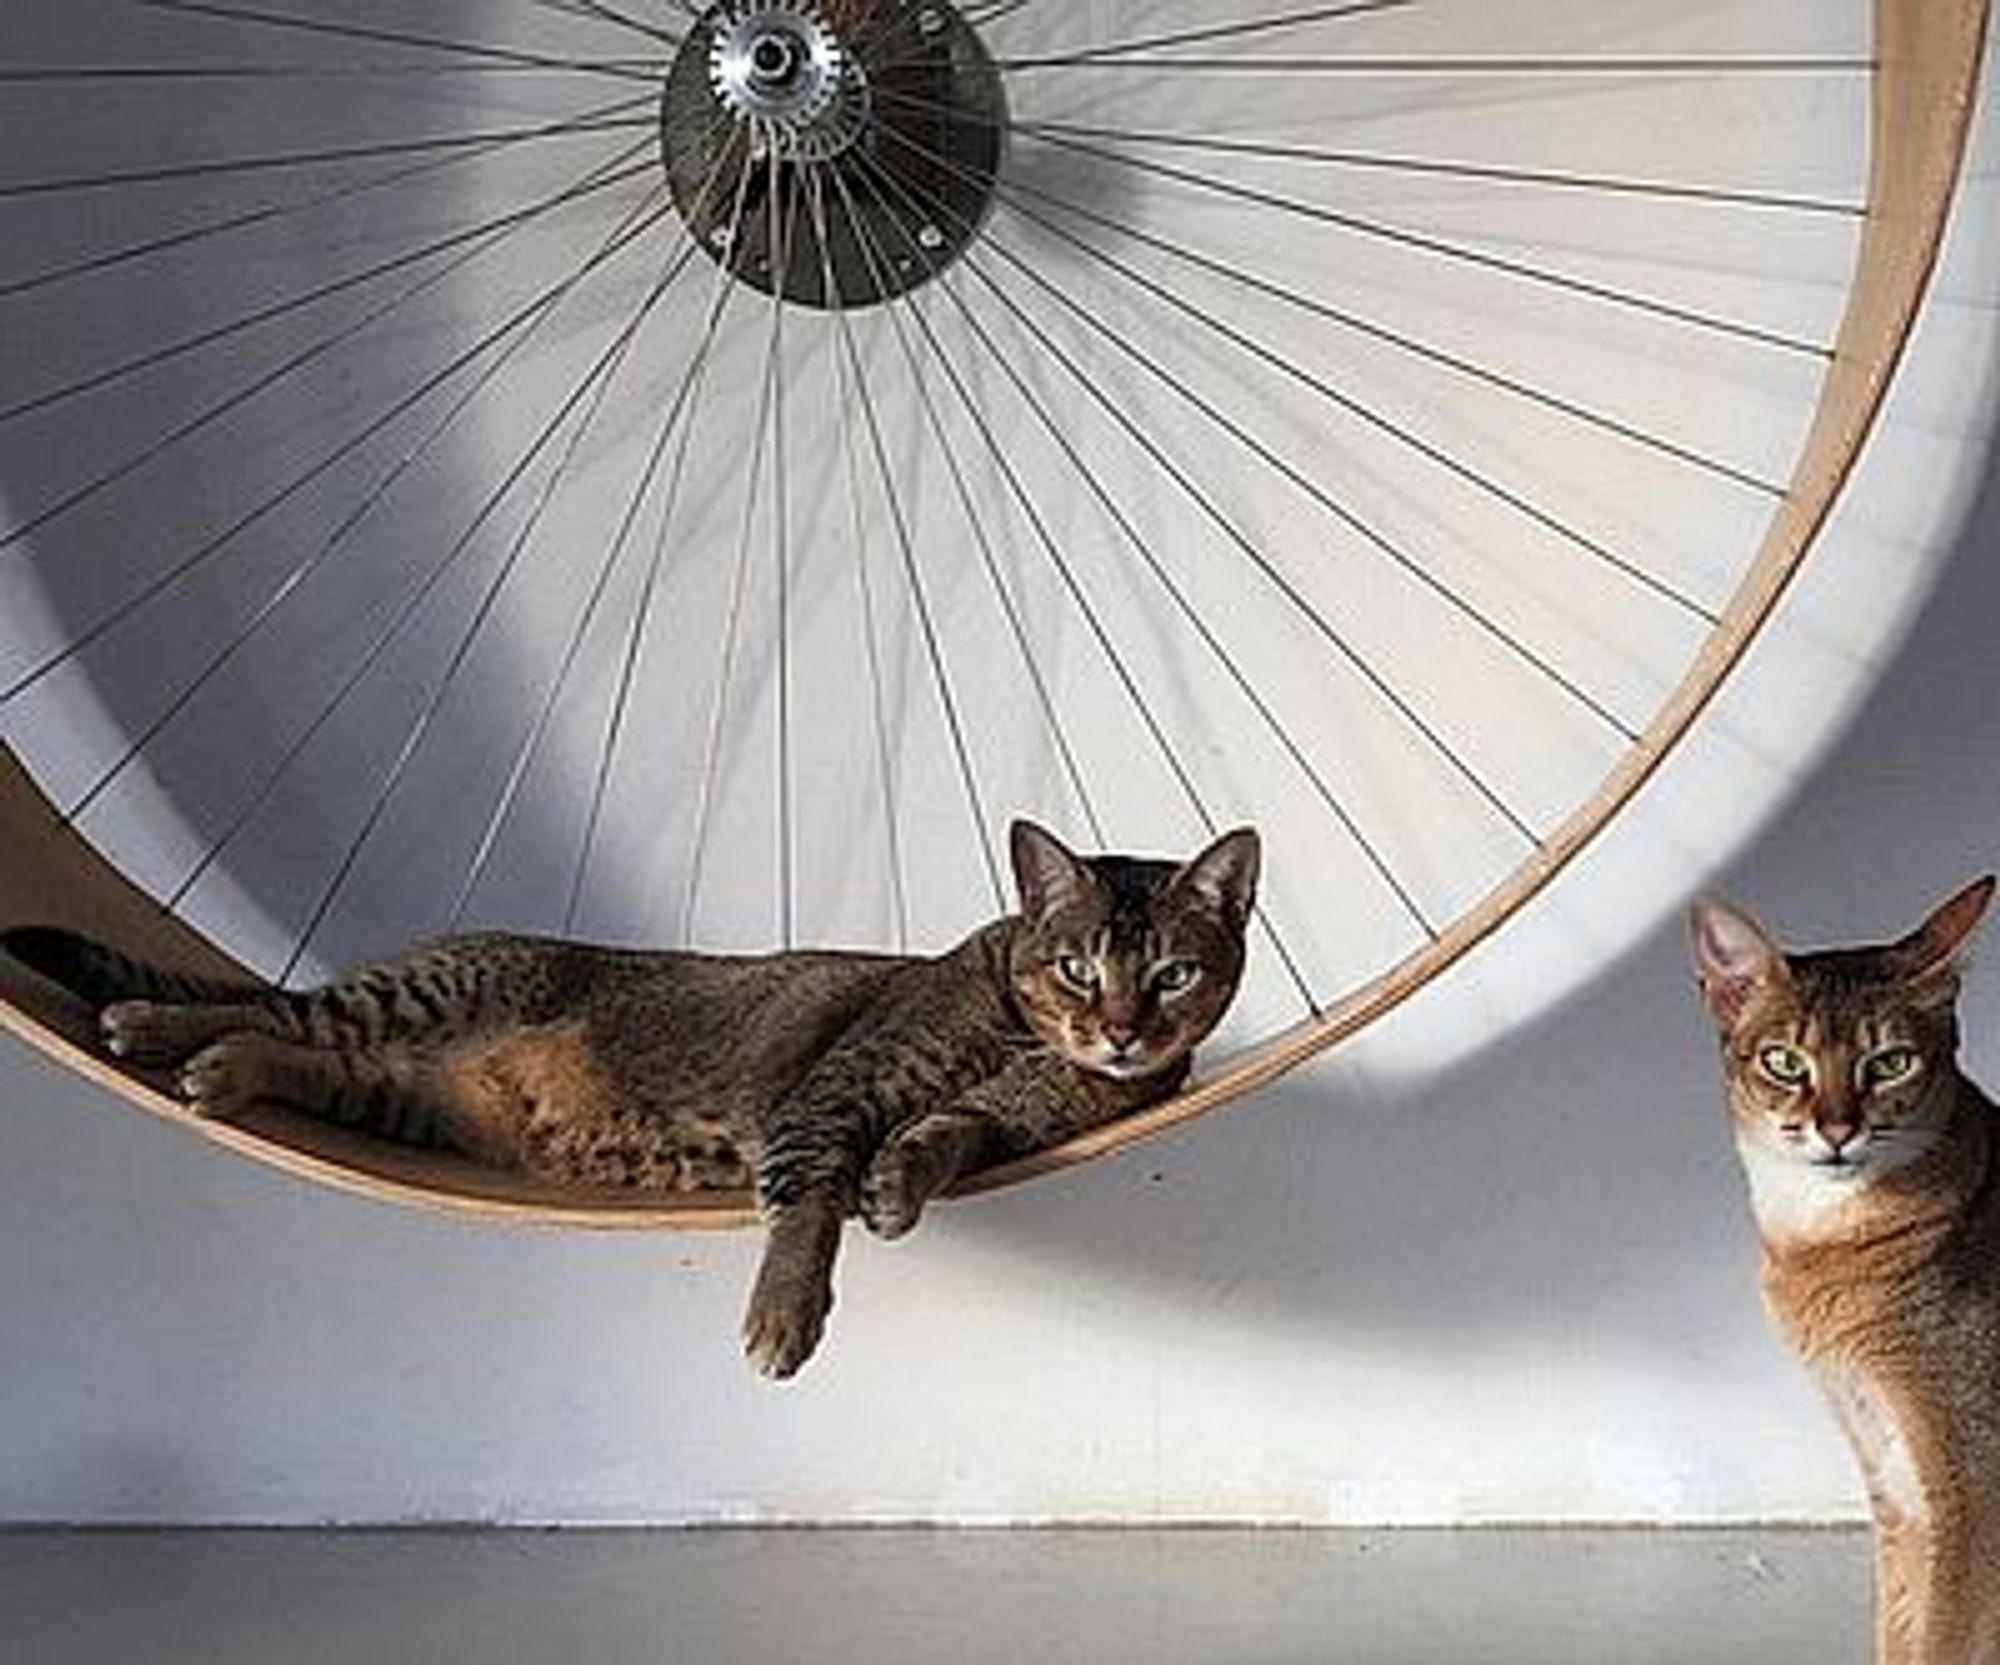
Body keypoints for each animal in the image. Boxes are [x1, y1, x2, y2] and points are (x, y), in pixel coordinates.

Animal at [3, 820, 1248, 1376]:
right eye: (1077, 966)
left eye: (1171, 975)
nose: (1121, 1031)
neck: (1045, 1056)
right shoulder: (828, 1096)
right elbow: (805, 1209)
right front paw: (784, 1318)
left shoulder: (1004, 1119)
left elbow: (947, 1132)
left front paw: (900, 1182)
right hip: (413, 1000)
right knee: (271, 1006)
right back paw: (155, 1030)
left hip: (403, 1098)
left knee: (296, 1053)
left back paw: (220, 1071)